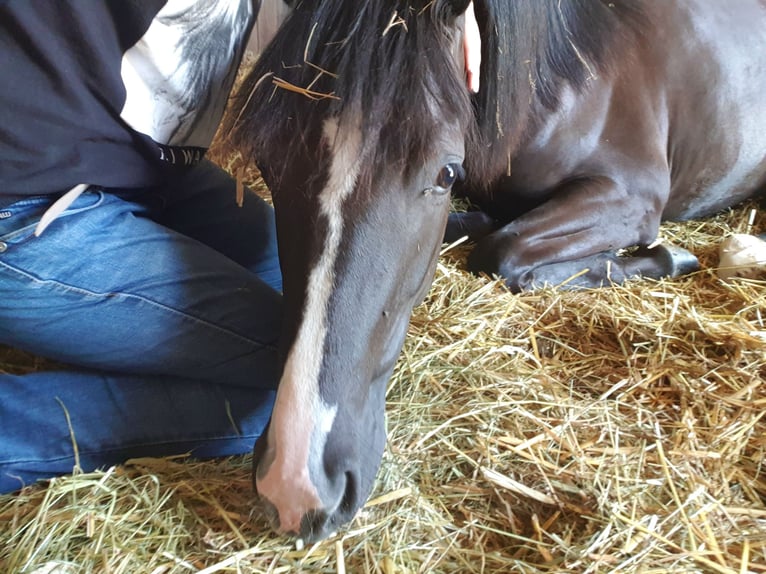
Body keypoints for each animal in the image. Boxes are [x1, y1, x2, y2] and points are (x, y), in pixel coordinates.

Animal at [228, 0, 766, 544]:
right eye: (269, 166)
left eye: (444, 173)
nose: (296, 484)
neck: (562, 78)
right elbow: (487, 231)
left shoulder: (631, 193)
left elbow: (501, 251)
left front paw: (663, 258)